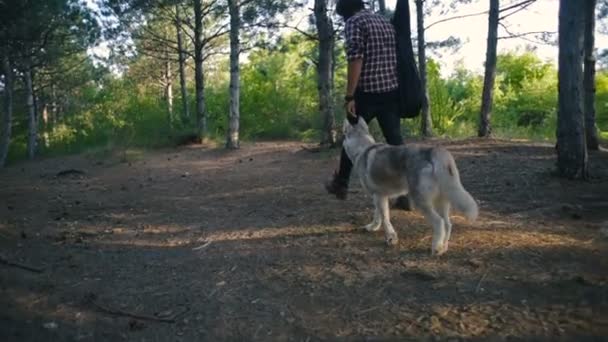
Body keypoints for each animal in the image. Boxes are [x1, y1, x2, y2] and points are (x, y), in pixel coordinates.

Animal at [342, 119, 480, 255]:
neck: (362, 149)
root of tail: (435, 151)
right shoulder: (380, 196)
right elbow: (378, 215)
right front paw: (373, 227)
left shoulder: (379, 196)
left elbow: (385, 219)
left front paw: (391, 238)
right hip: (442, 202)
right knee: (448, 224)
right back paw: (443, 247)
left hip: (422, 202)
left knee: (439, 222)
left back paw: (435, 248)